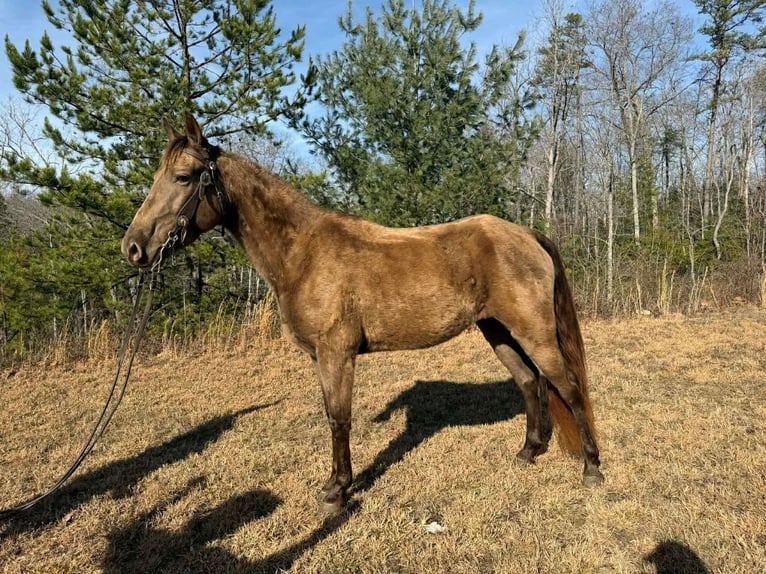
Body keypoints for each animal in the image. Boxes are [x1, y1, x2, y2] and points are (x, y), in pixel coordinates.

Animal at [122, 114, 604, 514]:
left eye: (183, 177)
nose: (134, 248)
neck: (304, 254)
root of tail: (526, 234)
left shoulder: (337, 353)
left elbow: (339, 418)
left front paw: (337, 490)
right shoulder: (322, 357)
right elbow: (331, 415)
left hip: (534, 332)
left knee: (568, 386)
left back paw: (592, 468)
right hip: (498, 331)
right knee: (530, 382)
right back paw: (528, 452)